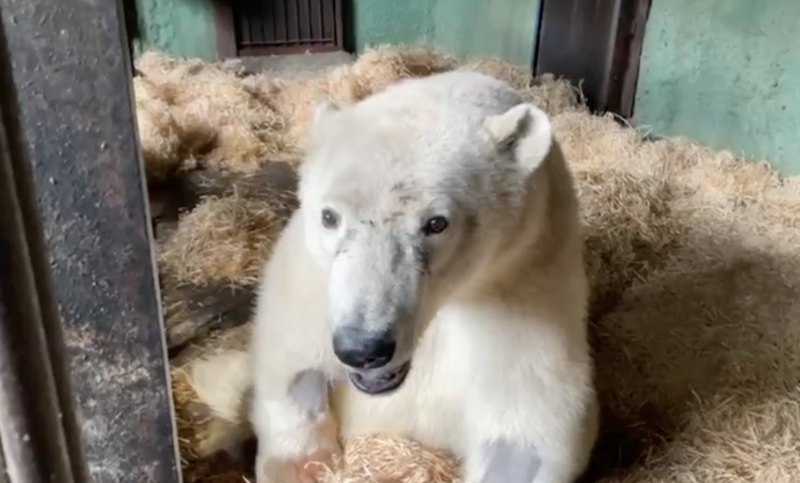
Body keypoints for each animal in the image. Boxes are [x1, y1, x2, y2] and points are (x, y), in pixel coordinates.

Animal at [191, 70, 599, 483]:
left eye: (436, 223)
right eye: (329, 217)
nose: (364, 349)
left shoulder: (526, 285)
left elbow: (527, 430)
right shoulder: (313, 277)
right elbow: (292, 357)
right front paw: (304, 464)